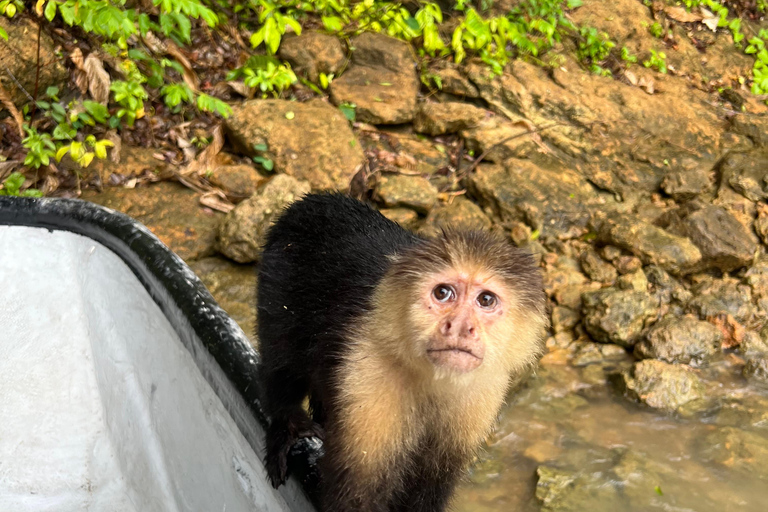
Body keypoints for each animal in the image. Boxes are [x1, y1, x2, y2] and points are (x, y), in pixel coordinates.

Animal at [256, 193, 544, 512]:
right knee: (283, 360)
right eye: (442, 293)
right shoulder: (367, 377)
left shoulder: (483, 395)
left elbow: (431, 485)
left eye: (486, 300)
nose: (460, 326)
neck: (433, 379)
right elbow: (356, 492)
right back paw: (287, 424)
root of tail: (312, 201)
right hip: (278, 276)